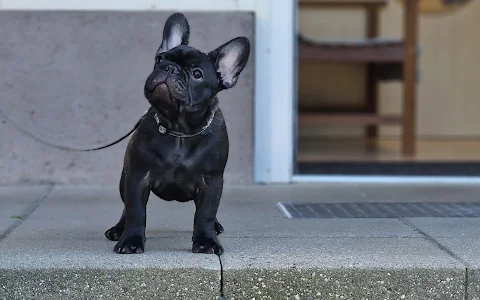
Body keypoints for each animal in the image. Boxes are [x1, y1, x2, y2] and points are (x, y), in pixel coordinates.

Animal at [103, 12, 249, 255]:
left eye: (197, 74)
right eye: (160, 59)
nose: (169, 68)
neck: (179, 129)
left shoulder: (212, 182)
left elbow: (205, 213)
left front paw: (206, 241)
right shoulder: (137, 177)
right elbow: (135, 211)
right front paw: (131, 240)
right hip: (124, 180)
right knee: (126, 207)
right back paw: (118, 229)